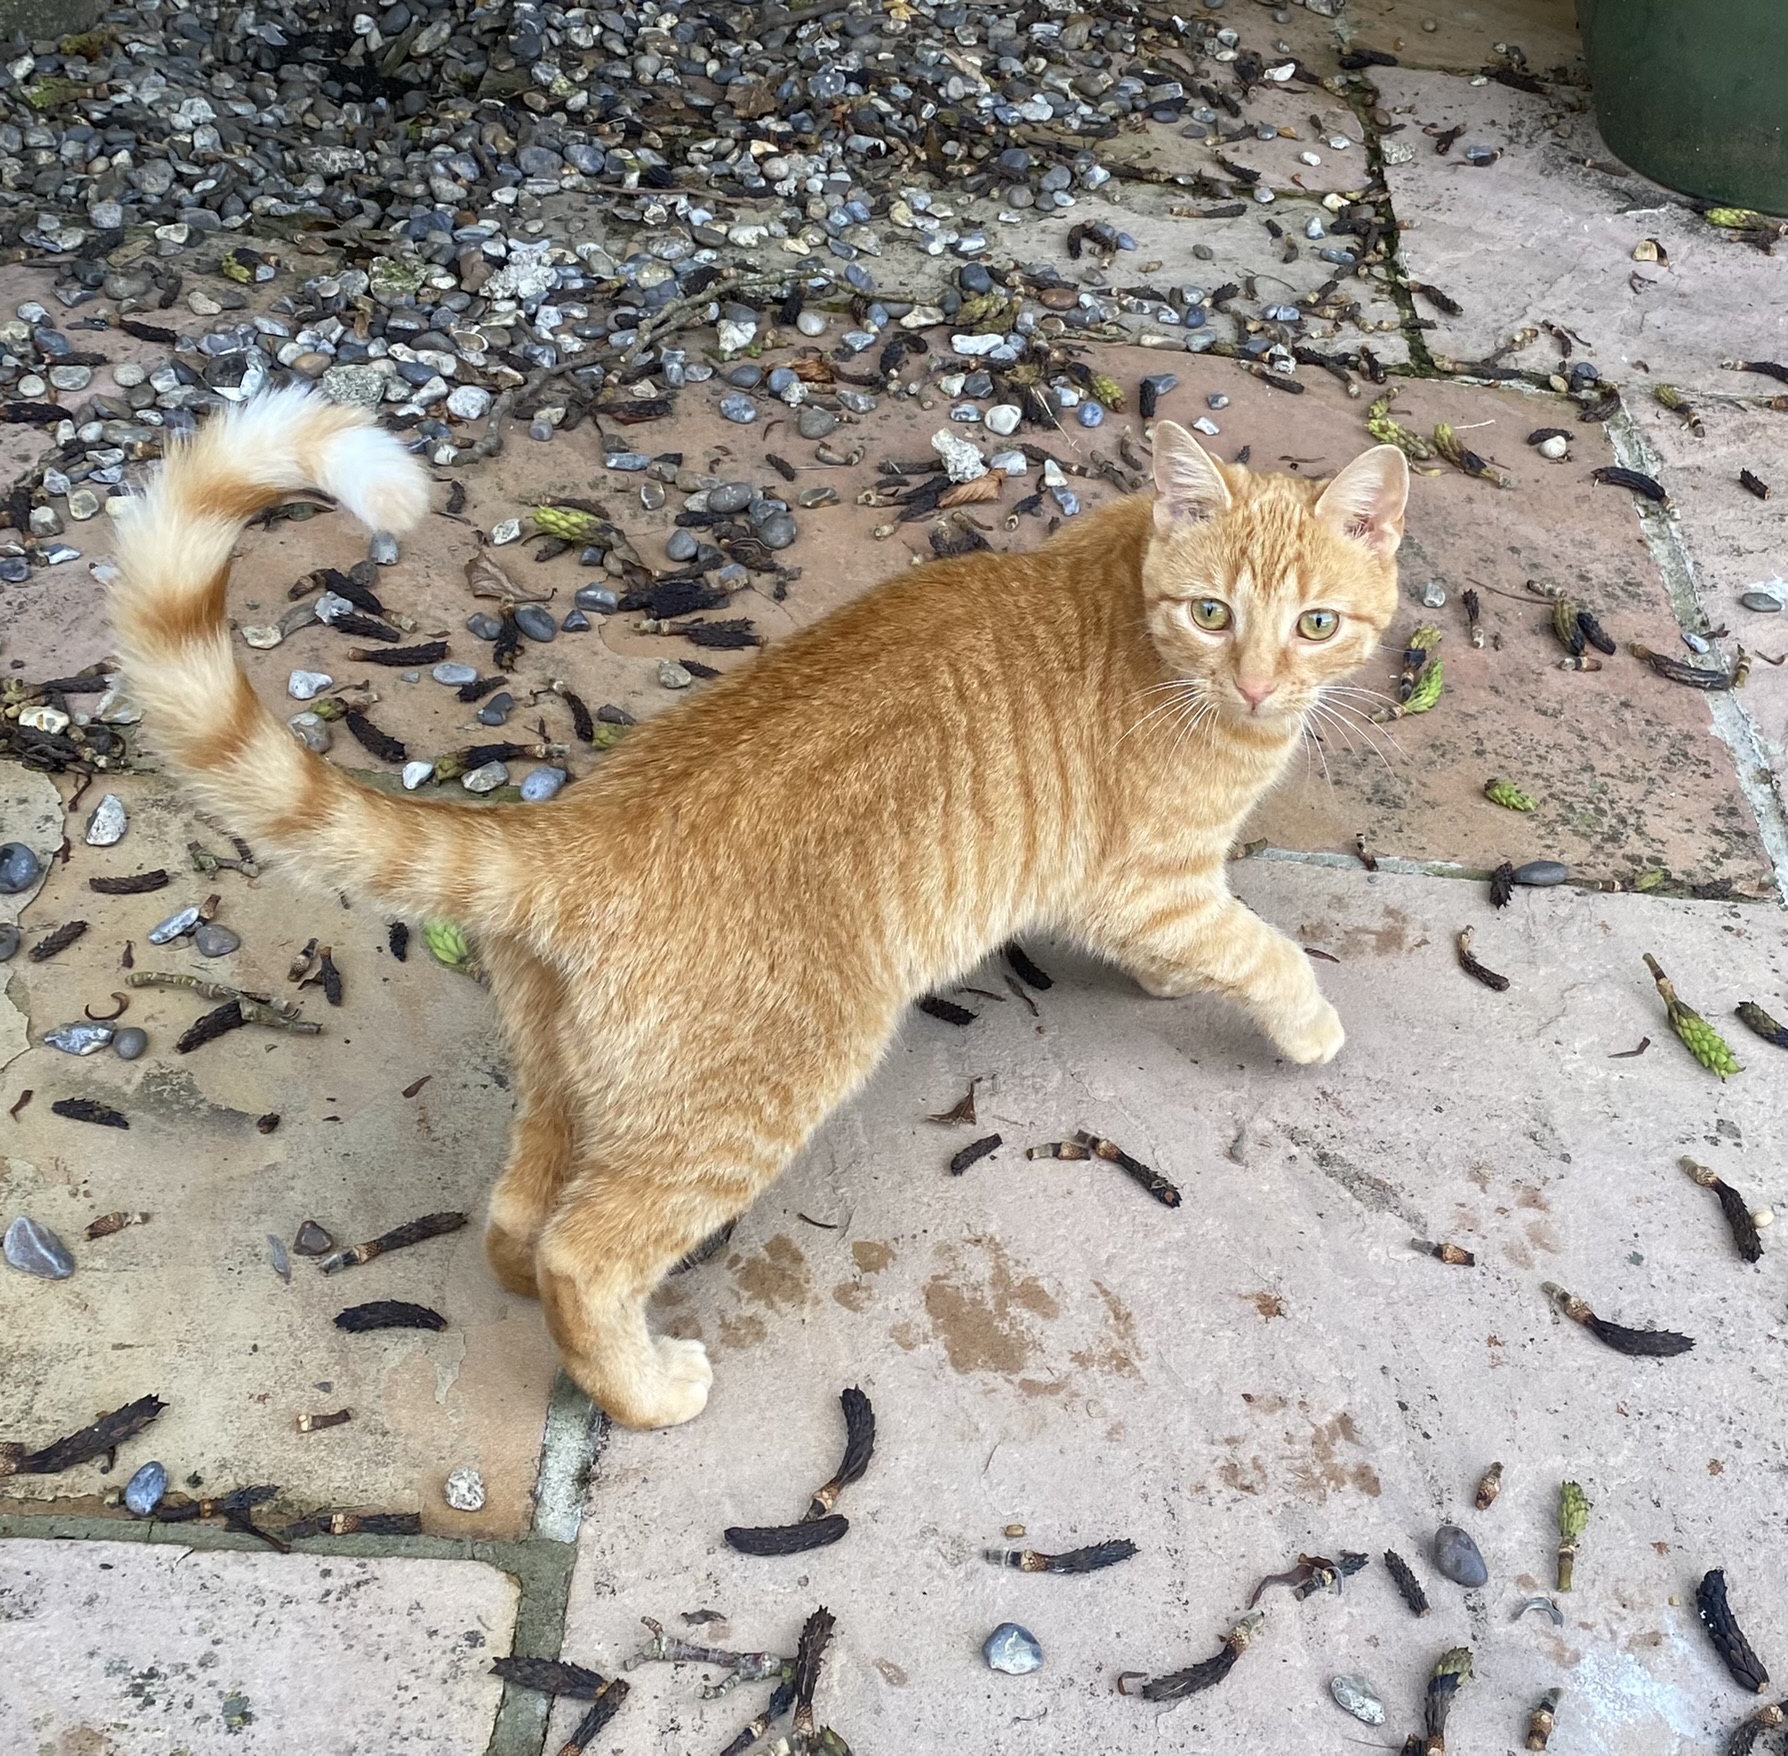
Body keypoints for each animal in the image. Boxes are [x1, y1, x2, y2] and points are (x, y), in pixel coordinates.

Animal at [109, 386, 1408, 1430]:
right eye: (1212, 613)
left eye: (1315, 624)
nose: (1260, 684)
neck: (1137, 598)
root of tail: (574, 828)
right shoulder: (1152, 886)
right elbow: (1261, 951)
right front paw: (1304, 1022)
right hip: (752, 1097)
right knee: (588, 1250)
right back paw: (643, 1392)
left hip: (573, 1080)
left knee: (520, 1213)